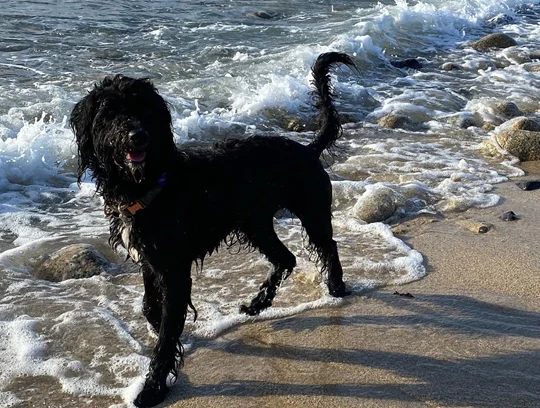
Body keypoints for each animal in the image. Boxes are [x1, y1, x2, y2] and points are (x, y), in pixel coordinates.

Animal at [70, 52, 354, 406]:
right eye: (109, 112)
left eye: (145, 110)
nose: (138, 136)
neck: (153, 183)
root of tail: (308, 149)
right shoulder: (151, 260)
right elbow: (150, 306)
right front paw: (160, 327)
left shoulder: (174, 270)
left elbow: (167, 333)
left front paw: (153, 387)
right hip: (256, 224)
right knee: (286, 258)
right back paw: (258, 302)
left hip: (310, 211)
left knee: (327, 246)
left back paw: (336, 287)